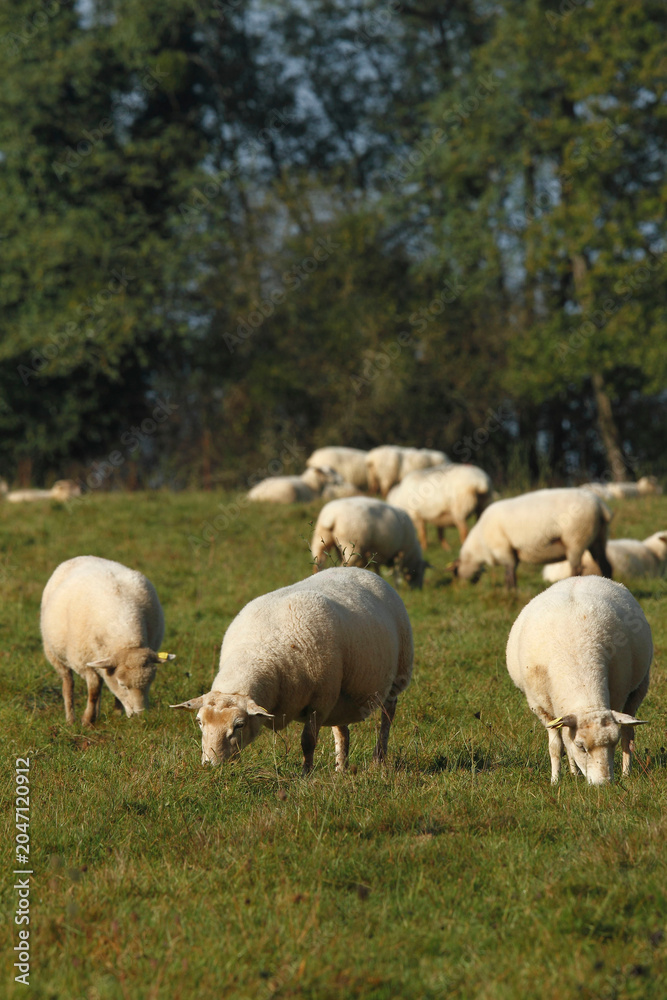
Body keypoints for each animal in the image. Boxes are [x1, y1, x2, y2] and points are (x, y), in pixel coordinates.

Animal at [41, 555, 175, 726]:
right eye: (123, 685)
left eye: (150, 682)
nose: (140, 716)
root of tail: (84, 556)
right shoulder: (85, 662)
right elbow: (94, 691)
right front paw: (87, 720)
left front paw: (116, 713)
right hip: (55, 654)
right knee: (68, 684)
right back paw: (71, 719)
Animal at [171, 567, 413, 773]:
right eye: (199, 722)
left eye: (239, 725)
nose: (211, 765)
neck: (258, 650)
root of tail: (361, 570)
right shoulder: (328, 697)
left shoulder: (319, 702)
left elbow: (308, 741)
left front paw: (306, 774)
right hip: (340, 693)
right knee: (342, 730)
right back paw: (340, 769)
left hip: (397, 675)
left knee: (387, 717)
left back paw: (378, 759)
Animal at [450, 487, 613, 588]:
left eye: (456, 571)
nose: (465, 586)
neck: (479, 546)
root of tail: (600, 505)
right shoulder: (512, 553)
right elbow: (511, 571)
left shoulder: (503, 549)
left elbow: (509, 573)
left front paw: (510, 592)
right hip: (598, 537)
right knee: (605, 564)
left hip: (576, 538)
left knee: (577, 567)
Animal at [506, 576, 652, 784]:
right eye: (581, 746)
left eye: (612, 744)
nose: (604, 784)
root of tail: (581, 577)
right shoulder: (542, 709)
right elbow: (557, 745)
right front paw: (555, 780)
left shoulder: (617, 696)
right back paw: (574, 772)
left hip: (639, 688)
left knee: (628, 734)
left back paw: (626, 772)